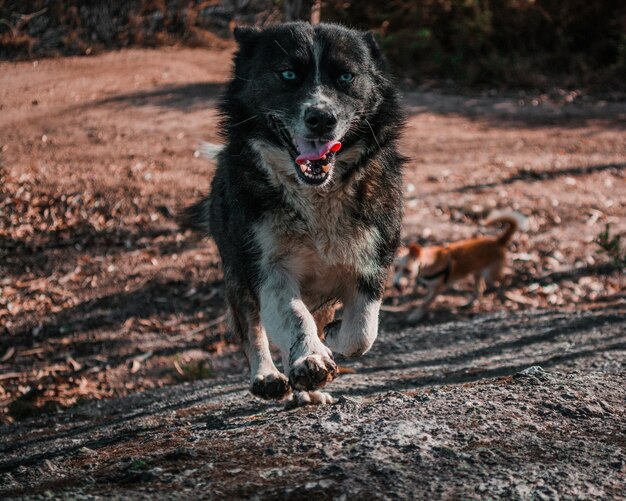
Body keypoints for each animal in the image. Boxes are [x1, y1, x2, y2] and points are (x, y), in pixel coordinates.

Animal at [183, 23, 402, 404]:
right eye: (287, 74)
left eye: (346, 76)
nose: (321, 118)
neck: (316, 195)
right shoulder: (266, 267)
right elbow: (292, 317)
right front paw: (311, 358)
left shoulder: (372, 259)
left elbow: (361, 331)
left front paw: (331, 339)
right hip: (236, 273)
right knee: (252, 327)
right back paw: (269, 376)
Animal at [392, 210, 524, 320]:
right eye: (395, 268)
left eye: (407, 270)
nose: (396, 285)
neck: (428, 263)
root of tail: (498, 241)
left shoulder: (437, 288)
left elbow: (425, 303)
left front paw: (416, 315)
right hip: (477, 272)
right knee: (480, 289)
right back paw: (469, 303)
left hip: (490, 274)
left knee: (504, 279)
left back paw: (502, 295)